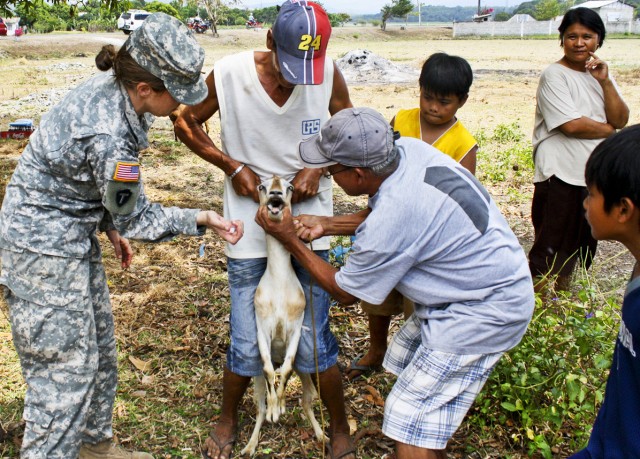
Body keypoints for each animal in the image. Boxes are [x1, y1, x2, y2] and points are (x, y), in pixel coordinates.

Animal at [242, 176, 328, 456]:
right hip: (256, 379)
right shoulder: (262, 329)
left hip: (307, 372)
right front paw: (274, 412)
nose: (276, 194)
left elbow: (287, 368)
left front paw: (280, 406)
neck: (279, 286)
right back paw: (249, 445)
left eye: (290, 186)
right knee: (258, 406)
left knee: (307, 400)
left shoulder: (295, 328)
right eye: (262, 185)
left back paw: (323, 436)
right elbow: (270, 369)